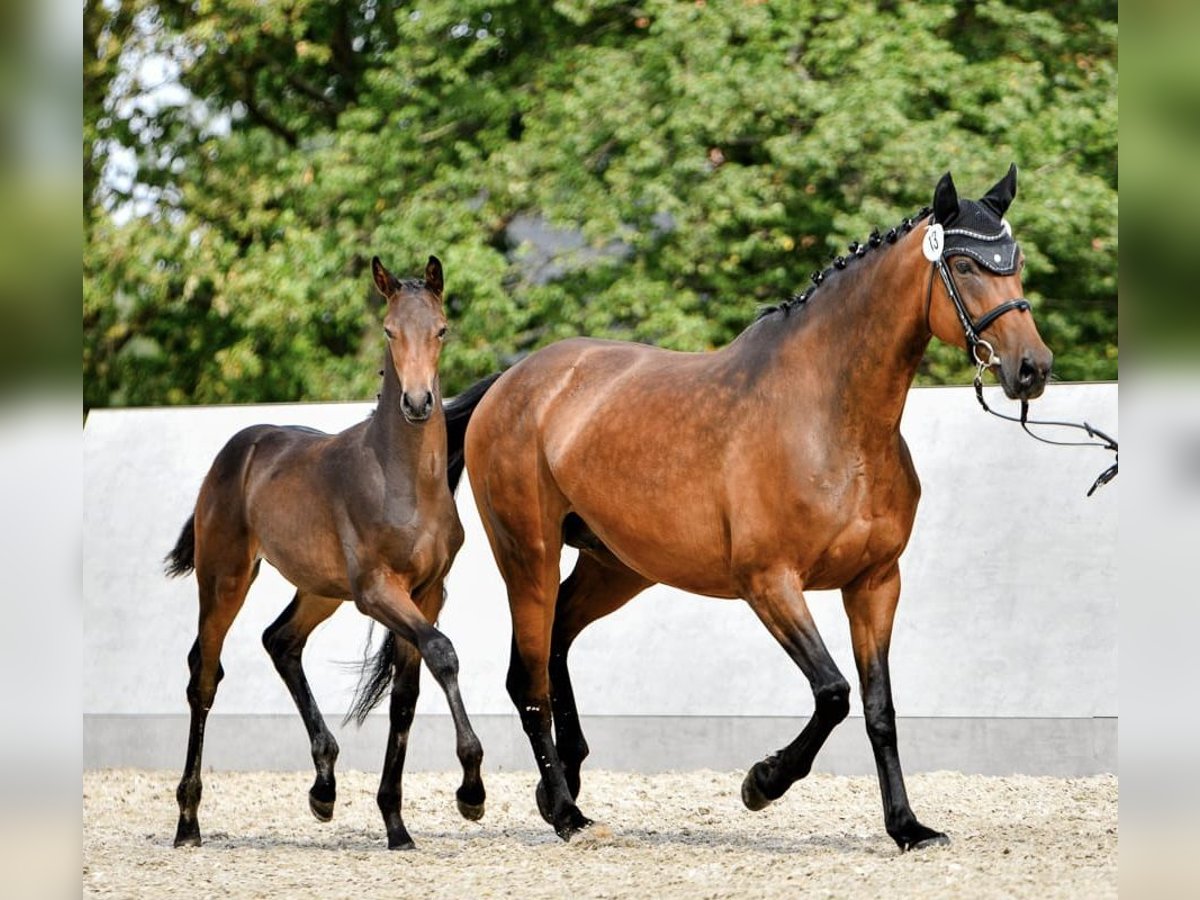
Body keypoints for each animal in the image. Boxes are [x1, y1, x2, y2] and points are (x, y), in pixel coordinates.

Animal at [162, 255, 484, 854]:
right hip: (225, 578)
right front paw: (471, 790)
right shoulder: (377, 591)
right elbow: (443, 652)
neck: (404, 482)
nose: (417, 403)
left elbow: (407, 692)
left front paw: (397, 825)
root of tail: (236, 450)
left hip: (319, 590)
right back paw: (188, 822)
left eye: (441, 329)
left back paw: (324, 787)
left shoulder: (428, 591)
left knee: (280, 641)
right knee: (204, 675)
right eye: (389, 331)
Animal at [451, 169, 1051, 854]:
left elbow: (880, 710)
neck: (833, 421)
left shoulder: (875, 583)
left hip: (615, 568)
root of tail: (511, 382)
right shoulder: (770, 583)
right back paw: (564, 813)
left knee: (554, 652)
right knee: (526, 682)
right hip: (530, 559)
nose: (1032, 369)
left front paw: (907, 828)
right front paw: (762, 783)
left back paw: (567, 785)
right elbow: (833, 692)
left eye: (1016, 263)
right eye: (964, 264)